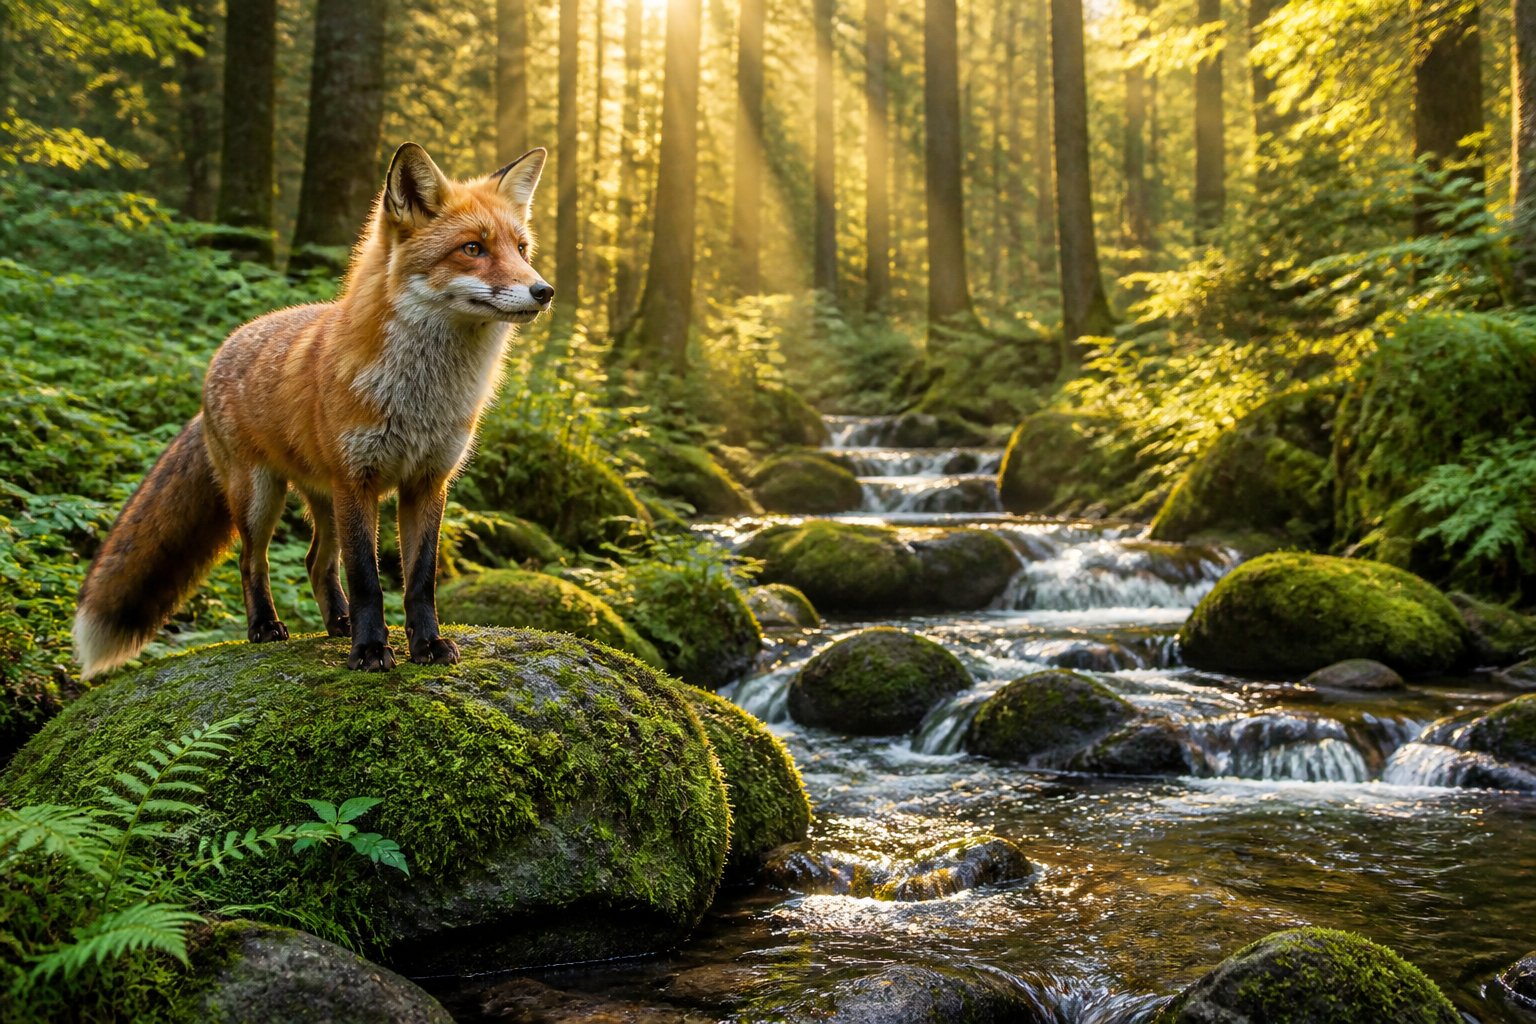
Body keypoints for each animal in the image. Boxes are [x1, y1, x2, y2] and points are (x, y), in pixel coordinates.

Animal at [73, 142, 552, 678]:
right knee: (252, 562)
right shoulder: (357, 480)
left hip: (323, 499)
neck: (420, 396)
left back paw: (337, 622)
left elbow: (420, 580)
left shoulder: (427, 481)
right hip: (262, 497)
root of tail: (228, 344)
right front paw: (371, 650)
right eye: (472, 248)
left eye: (522, 250)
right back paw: (266, 626)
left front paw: (426, 644)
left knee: (315, 561)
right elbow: (367, 580)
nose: (544, 291)